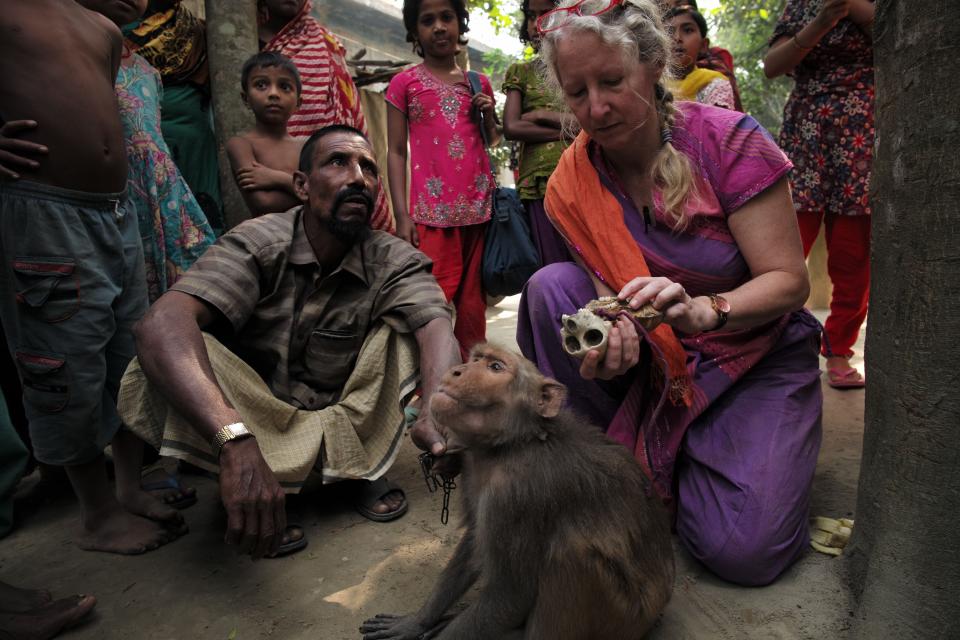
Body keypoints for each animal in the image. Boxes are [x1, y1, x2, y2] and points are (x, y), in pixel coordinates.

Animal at [362, 344, 676, 640]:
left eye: (495, 367)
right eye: (476, 359)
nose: (456, 370)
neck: (513, 444)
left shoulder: (517, 494)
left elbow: (511, 595)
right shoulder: (472, 467)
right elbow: (475, 543)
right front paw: (418, 621)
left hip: (625, 616)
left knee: (571, 551)